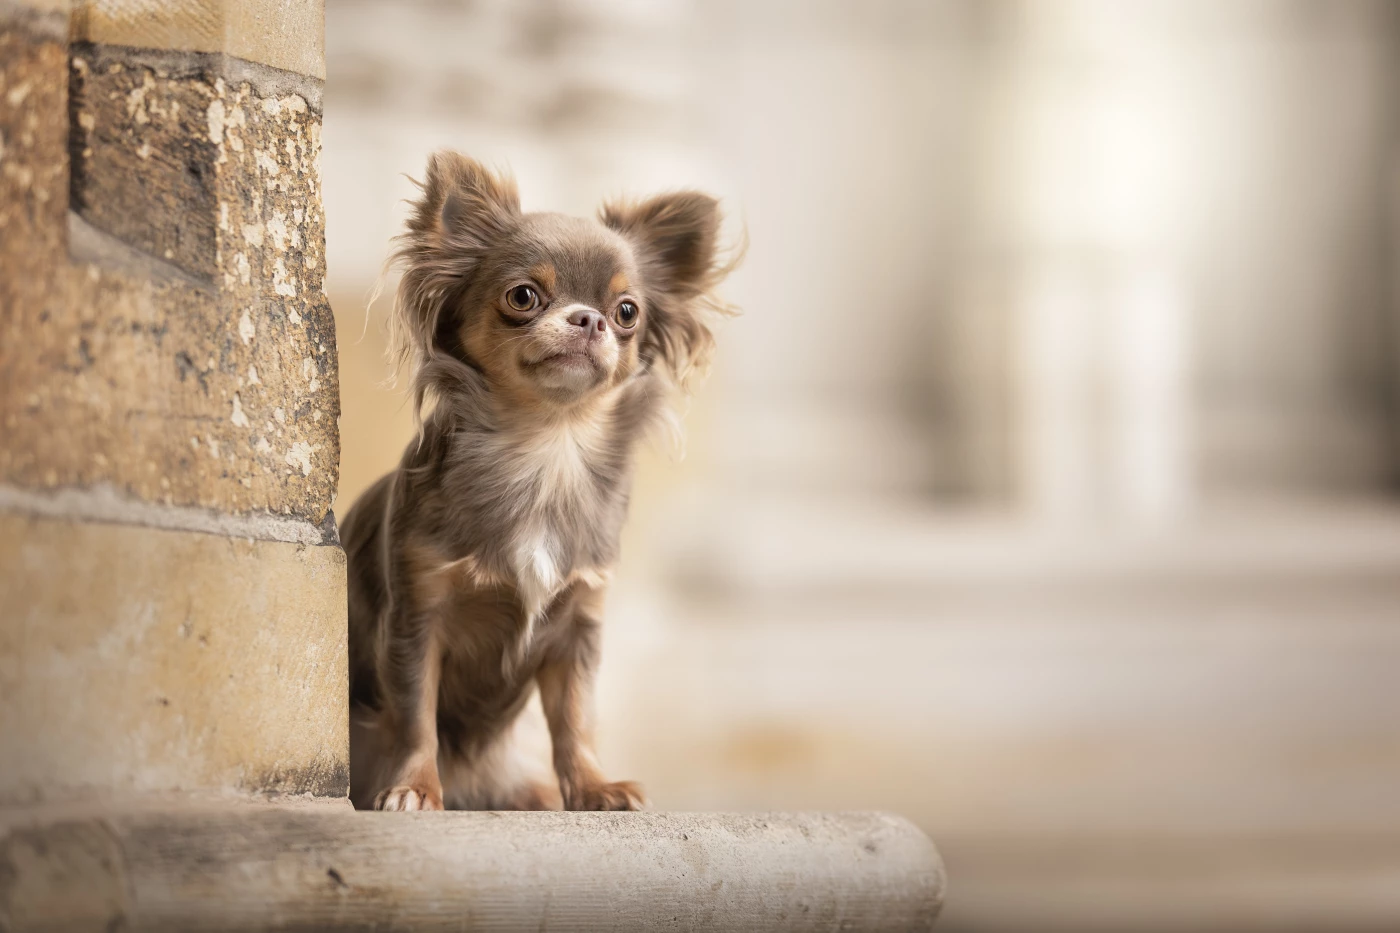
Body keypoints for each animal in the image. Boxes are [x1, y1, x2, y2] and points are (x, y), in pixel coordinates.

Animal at [341, 150, 733, 806]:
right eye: (523, 296)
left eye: (628, 312)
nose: (590, 319)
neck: (547, 446)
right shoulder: (417, 619)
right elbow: (416, 716)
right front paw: (415, 787)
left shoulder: (577, 628)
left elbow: (574, 719)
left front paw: (595, 787)